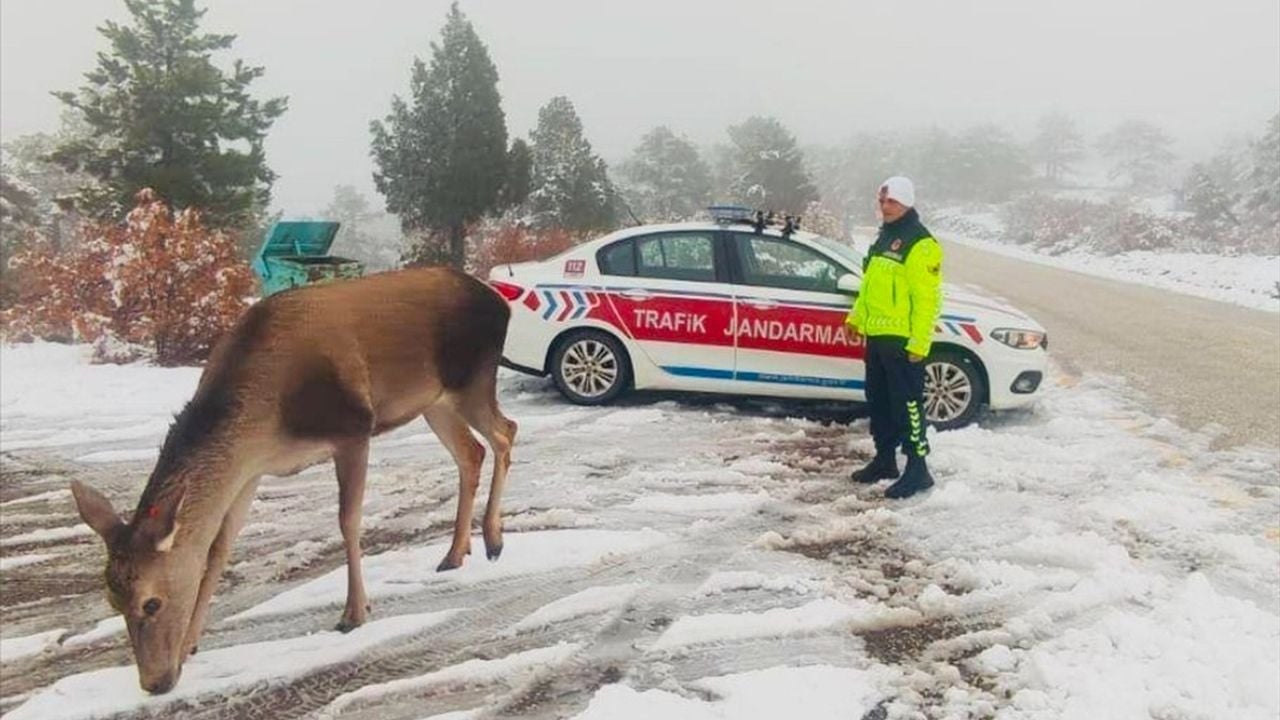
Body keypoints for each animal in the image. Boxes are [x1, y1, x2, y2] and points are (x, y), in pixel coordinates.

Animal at [68, 266, 514, 691]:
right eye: (113, 601)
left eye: (152, 603)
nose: (154, 683)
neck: (267, 419)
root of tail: (498, 302)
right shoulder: (250, 471)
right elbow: (218, 550)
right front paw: (192, 643)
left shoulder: (353, 427)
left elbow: (348, 520)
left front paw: (355, 612)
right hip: (433, 401)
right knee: (472, 453)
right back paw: (456, 552)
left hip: (472, 381)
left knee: (506, 432)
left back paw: (493, 540)